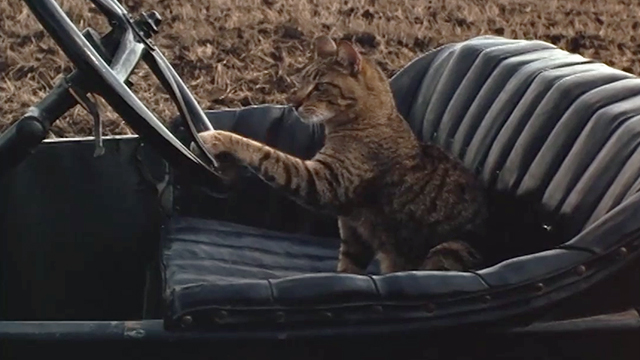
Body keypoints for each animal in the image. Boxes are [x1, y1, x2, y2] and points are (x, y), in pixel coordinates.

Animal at [192, 35, 488, 272]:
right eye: (300, 82)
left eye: (320, 86)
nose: (293, 103)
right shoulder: (353, 231)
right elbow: (349, 269)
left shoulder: (324, 182)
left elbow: (266, 154)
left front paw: (217, 138)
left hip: (450, 249)